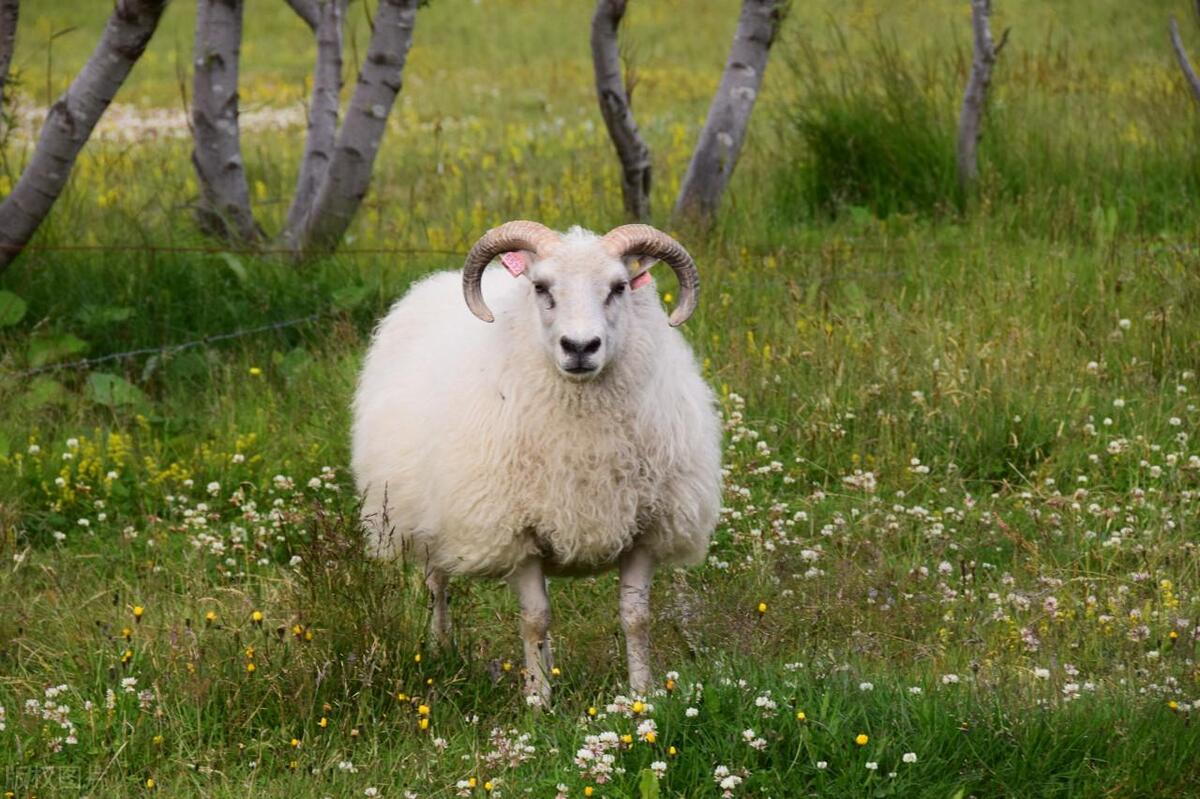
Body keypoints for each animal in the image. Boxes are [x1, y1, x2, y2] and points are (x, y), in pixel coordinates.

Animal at [350, 220, 720, 700]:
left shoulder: (646, 530)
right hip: (426, 518)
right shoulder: (514, 531)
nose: (580, 346)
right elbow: (534, 620)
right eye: (541, 287)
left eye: (619, 287)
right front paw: (538, 701)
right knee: (437, 586)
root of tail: (433, 282)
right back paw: (441, 648)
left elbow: (636, 618)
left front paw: (642, 695)